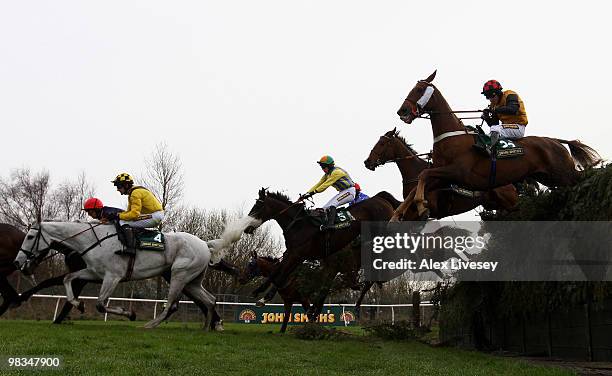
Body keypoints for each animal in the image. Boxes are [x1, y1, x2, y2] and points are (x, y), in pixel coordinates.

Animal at [14, 222, 239, 330]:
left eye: (30, 236)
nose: (17, 262)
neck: (94, 241)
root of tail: (205, 245)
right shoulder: (93, 272)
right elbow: (67, 279)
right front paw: (78, 304)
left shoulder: (112, 276)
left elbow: (101, 304)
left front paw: (129, 313)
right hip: (192, 281)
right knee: (209, 300)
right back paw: (208, 326)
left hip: (179, 274)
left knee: (172, 305)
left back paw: (149, 325)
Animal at [394, 71, 600, 217]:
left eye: (419, 90)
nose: (402, 111)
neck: (451, 138)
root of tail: (556, 141)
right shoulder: (443, 176)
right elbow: (419, 182)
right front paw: (398, 213)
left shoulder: (457, 171)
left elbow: (423, 175)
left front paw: (421, 207)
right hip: (550, 177)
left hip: (562, 173)